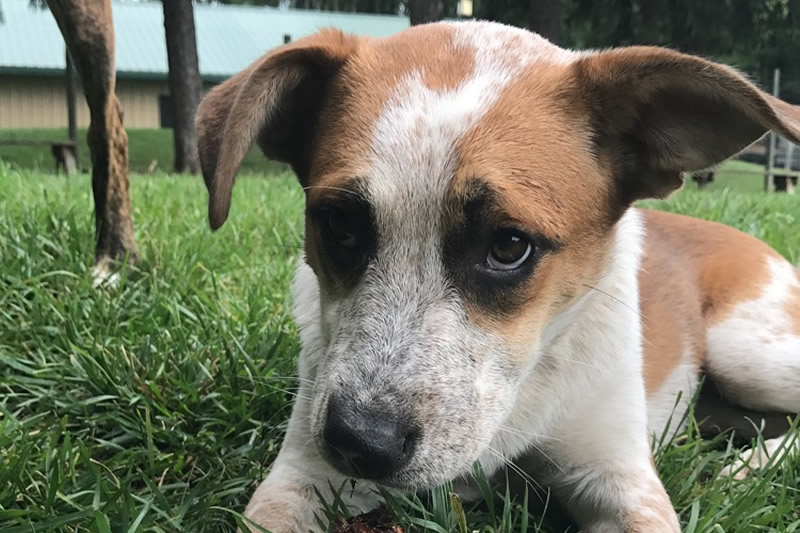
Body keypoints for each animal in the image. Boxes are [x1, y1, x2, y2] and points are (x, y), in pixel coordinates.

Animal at [195, 20, 800, 532]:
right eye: (339, 224)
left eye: (509, 246)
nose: (361, 445)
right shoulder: (301, 476)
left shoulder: (619, 478)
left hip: (746, 352)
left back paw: (747, 467)